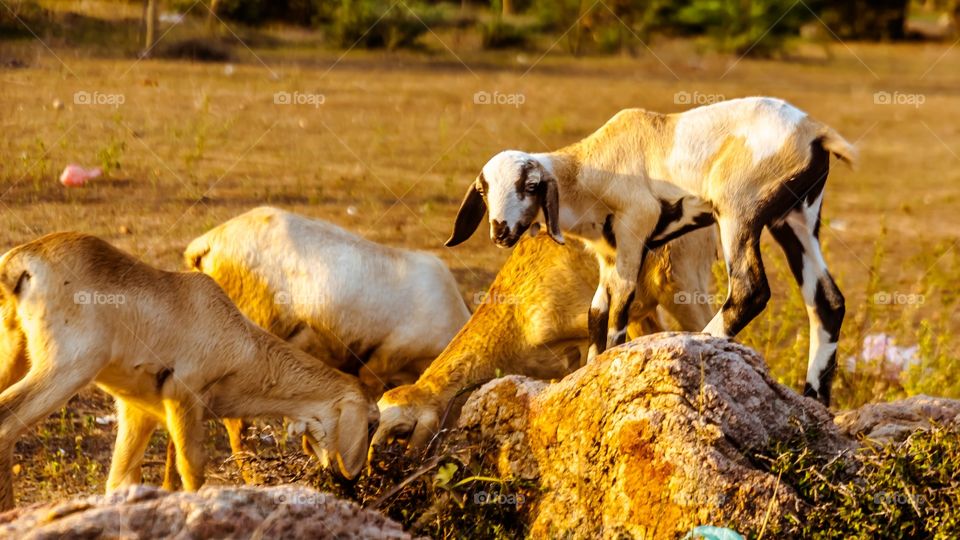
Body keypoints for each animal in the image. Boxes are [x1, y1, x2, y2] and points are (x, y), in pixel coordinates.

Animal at [0, 233, 378, 510]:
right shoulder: (184, 396)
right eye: (372, 422)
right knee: (6, 423)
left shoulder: (139, 413)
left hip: (16, 359)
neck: (241, 340)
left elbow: (122, 481)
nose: (347, 479)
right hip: (66, 372)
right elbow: (193, 473)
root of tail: (23, 259)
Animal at [446, 96, 860, 404]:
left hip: (738, 211)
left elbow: (618, 313)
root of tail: (815, 131)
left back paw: (703, 342)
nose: (501, 232)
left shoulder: (634, 231)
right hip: (796, 219)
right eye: (483, 190)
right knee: (827, 301)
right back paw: (814, 400)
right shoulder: (607, 254)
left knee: (750, 290)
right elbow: (597, 313)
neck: (591, 166)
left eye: (530, 185)